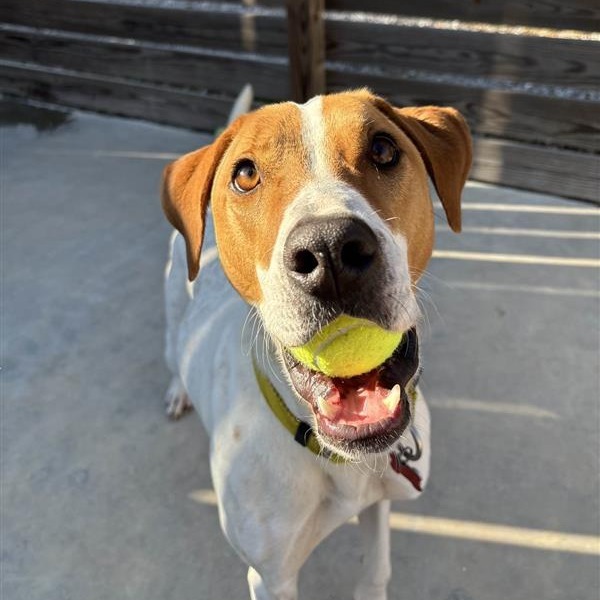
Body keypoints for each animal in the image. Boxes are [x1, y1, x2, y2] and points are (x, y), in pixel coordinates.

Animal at [162, 89, 472, 600]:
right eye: (245, 175)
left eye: (383, 149)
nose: (330, 250)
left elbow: (375, 571)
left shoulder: (379, 503)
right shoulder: (271, 578)